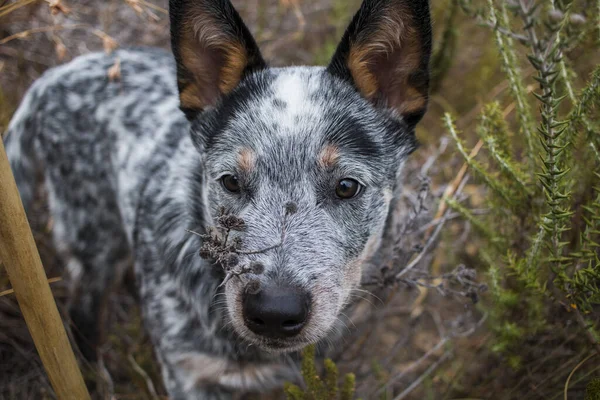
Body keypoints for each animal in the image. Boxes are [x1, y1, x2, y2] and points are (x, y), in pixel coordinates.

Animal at [2, 0, 428, 396]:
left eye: (346, 186)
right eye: (230, 182)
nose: (274, 311)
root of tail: (52, 76)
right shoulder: (188, 374)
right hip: (93, 238)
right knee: (83, 316)